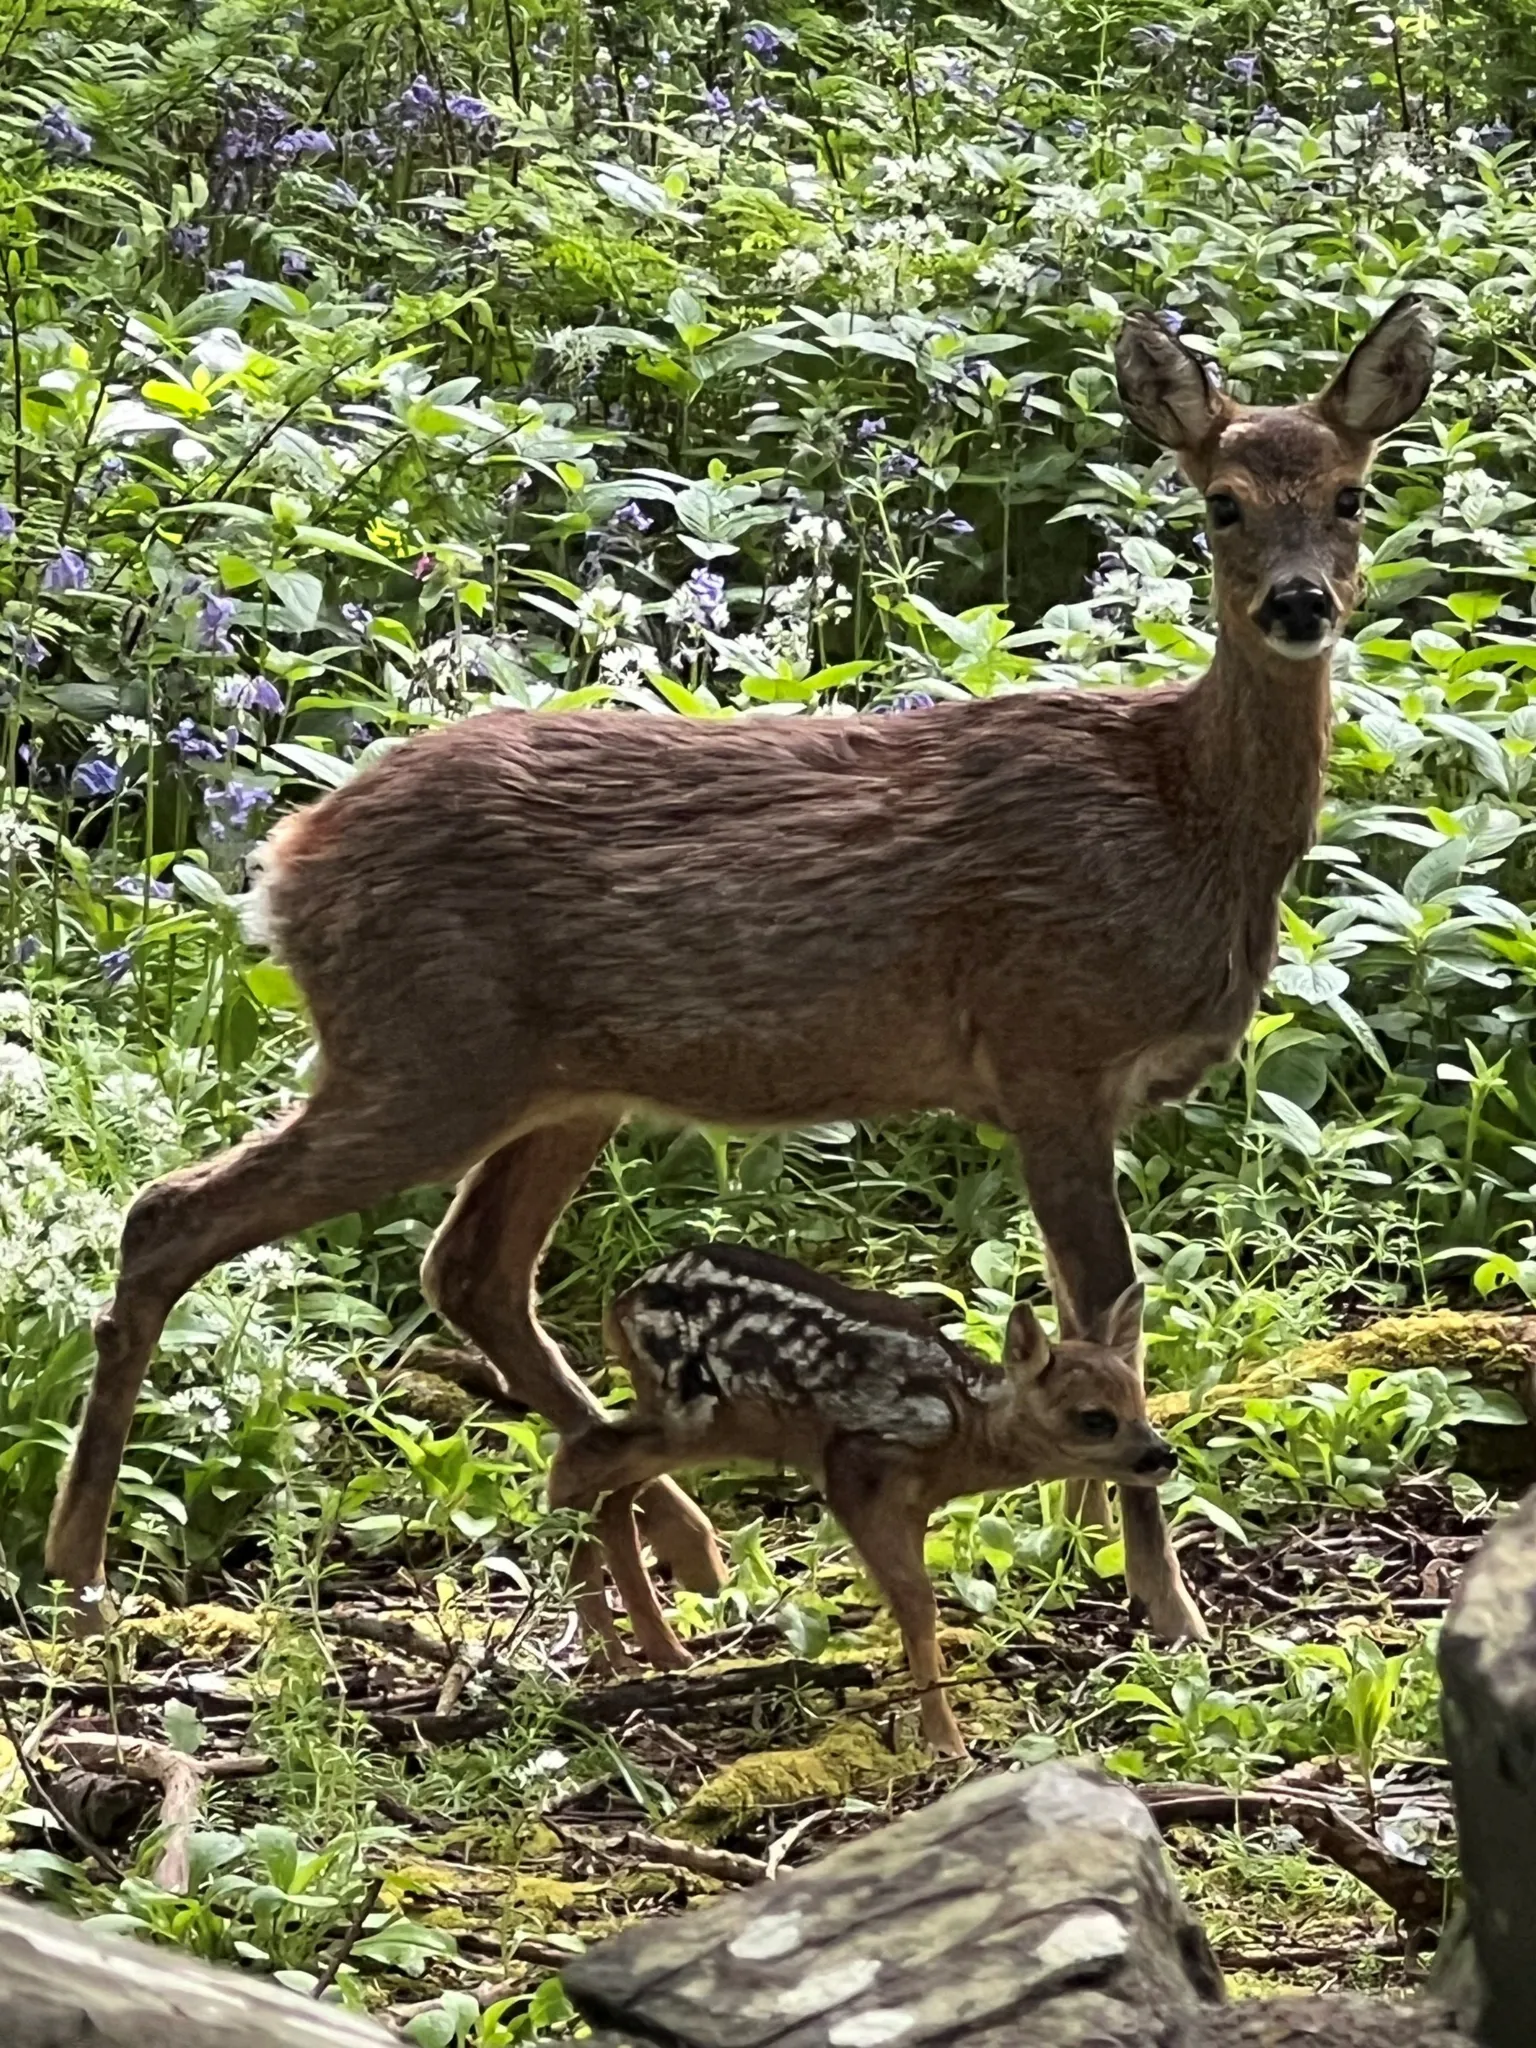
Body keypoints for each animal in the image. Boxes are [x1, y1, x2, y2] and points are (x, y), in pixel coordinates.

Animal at [45, 296, 1437, 1647]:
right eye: (1223, 502)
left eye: (1354, 493)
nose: (1301, 604)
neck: (1182, 813)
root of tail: (286, 859)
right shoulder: (1050, 1047)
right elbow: (1110, 1305)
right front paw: (1162, 1597)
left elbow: (1094, 1309)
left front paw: (1088, 1532)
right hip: (423, 1051)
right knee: (172, 1212)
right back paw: (81, 1571)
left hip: (557, 1081)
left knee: (470, 1268)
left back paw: (691, 1544)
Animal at [547, 1241, 1175, 1756]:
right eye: (1094, 1419)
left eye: (1140, 1398)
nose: (1162, 1456)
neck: (964, 1429)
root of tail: (620, 1301)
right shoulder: (856, 1468)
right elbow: (915, 1604)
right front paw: (948, 1743)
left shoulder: (914, 1504)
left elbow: (920, 1599)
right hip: (695, 1412)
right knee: (582, 1460)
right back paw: (612, 1644)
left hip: (705, 1423)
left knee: (607, 1480)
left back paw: (645, 1651)